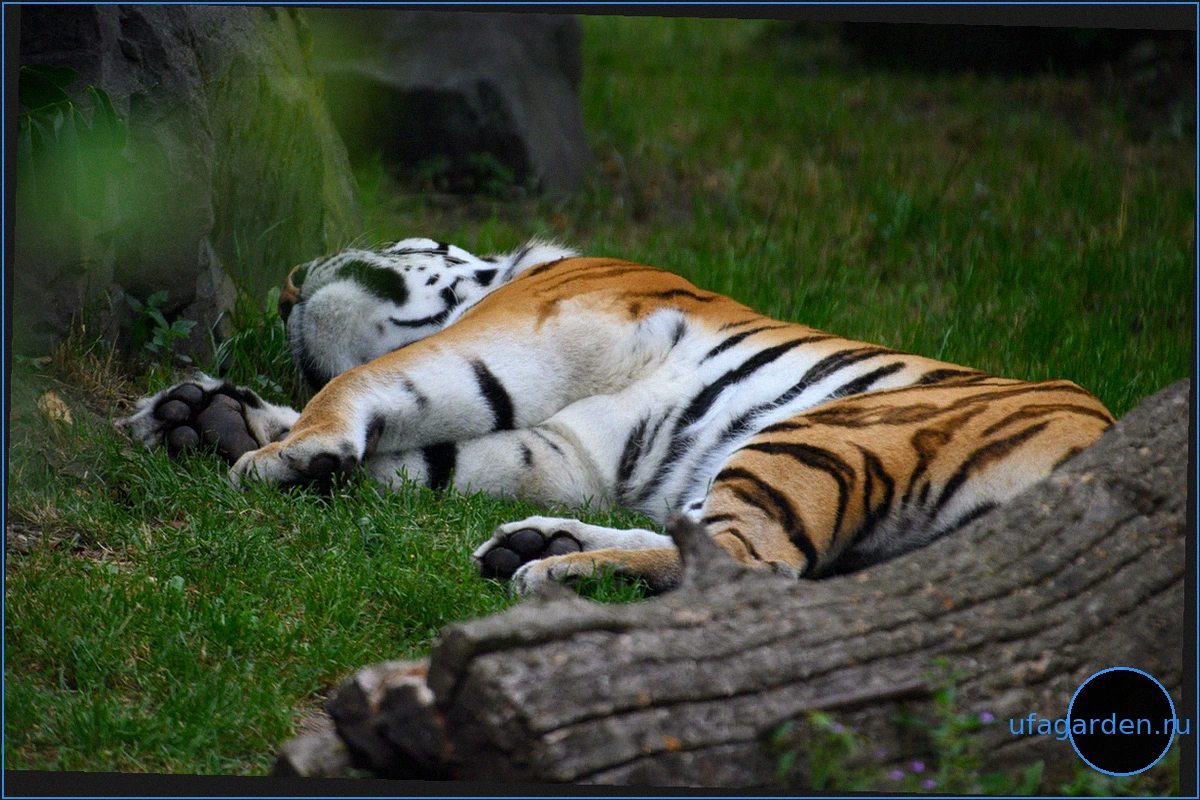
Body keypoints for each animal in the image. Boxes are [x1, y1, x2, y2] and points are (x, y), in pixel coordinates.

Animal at [122, 238, 1115, 595]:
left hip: (821, 432)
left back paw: (550, 573)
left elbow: (370, 383)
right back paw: (539, 547)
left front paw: (276, 454)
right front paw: (200, 416)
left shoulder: (525, 329)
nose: (289, 282)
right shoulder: (565, 448)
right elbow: (421, 454)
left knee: (754, 569)